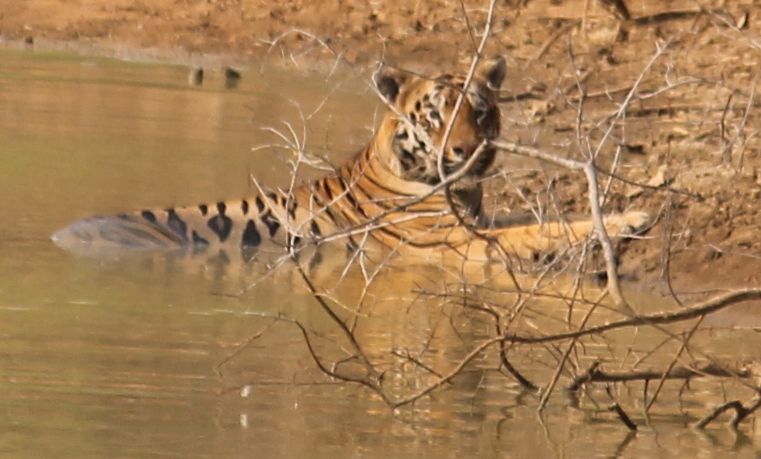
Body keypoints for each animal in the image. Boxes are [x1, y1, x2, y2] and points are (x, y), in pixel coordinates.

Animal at [51, 57, 649, 266]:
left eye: (479, 112)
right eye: (436, 116)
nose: (465, 153)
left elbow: (531, 221)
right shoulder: (454, 242)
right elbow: (540, 229)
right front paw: (633, 217)